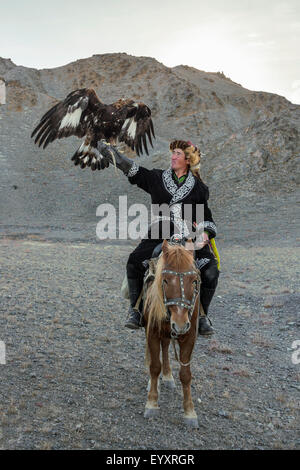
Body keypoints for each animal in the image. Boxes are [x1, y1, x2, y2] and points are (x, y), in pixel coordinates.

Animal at [143, 239, 202, 426]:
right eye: (166, 280)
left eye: (194, 280)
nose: (181, 324)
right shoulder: (152, 332)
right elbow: (155, 367)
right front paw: (152, 403)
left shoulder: (189, 337)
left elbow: (186, 374)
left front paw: (190, 411)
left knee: (166, 346)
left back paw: (168, 376)